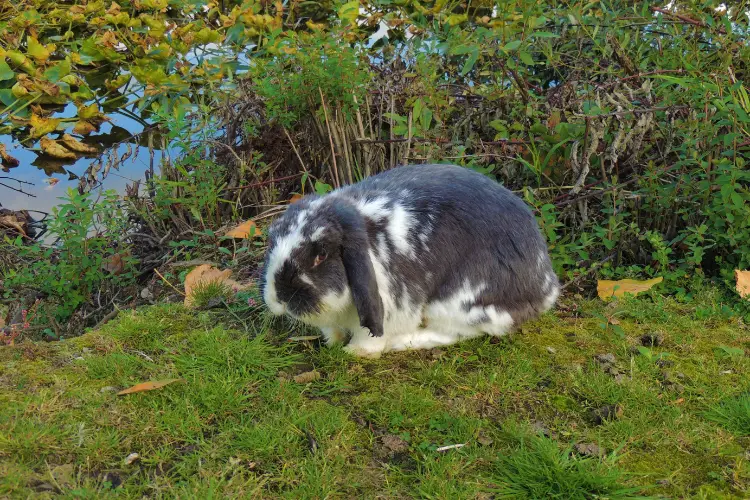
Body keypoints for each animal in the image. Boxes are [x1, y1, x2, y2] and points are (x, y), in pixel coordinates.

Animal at [262, 163, 560, 356]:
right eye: (272, 239)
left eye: (321, 255)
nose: (279, 298)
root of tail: (546, 286)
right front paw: (332, 342)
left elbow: (368, 339)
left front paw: (354, 352)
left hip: (457, 301)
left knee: (456, 332)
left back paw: (406, 342)